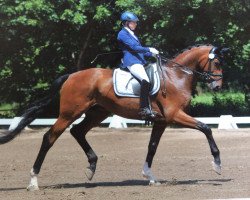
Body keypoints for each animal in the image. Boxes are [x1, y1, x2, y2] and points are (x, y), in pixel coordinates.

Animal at [0, 44, 229, 191]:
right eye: (217, 62)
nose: (218, 87)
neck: (176, 76)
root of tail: (71, 76)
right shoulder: (175, 116)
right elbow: (206, 128)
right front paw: (217, 164)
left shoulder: (162, 121)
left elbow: (152, 147)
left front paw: (149, 176)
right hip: (69, 113)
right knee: (50, 137)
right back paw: (33, 182)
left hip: (97, 112)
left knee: (77, 131)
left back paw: (91, 167)